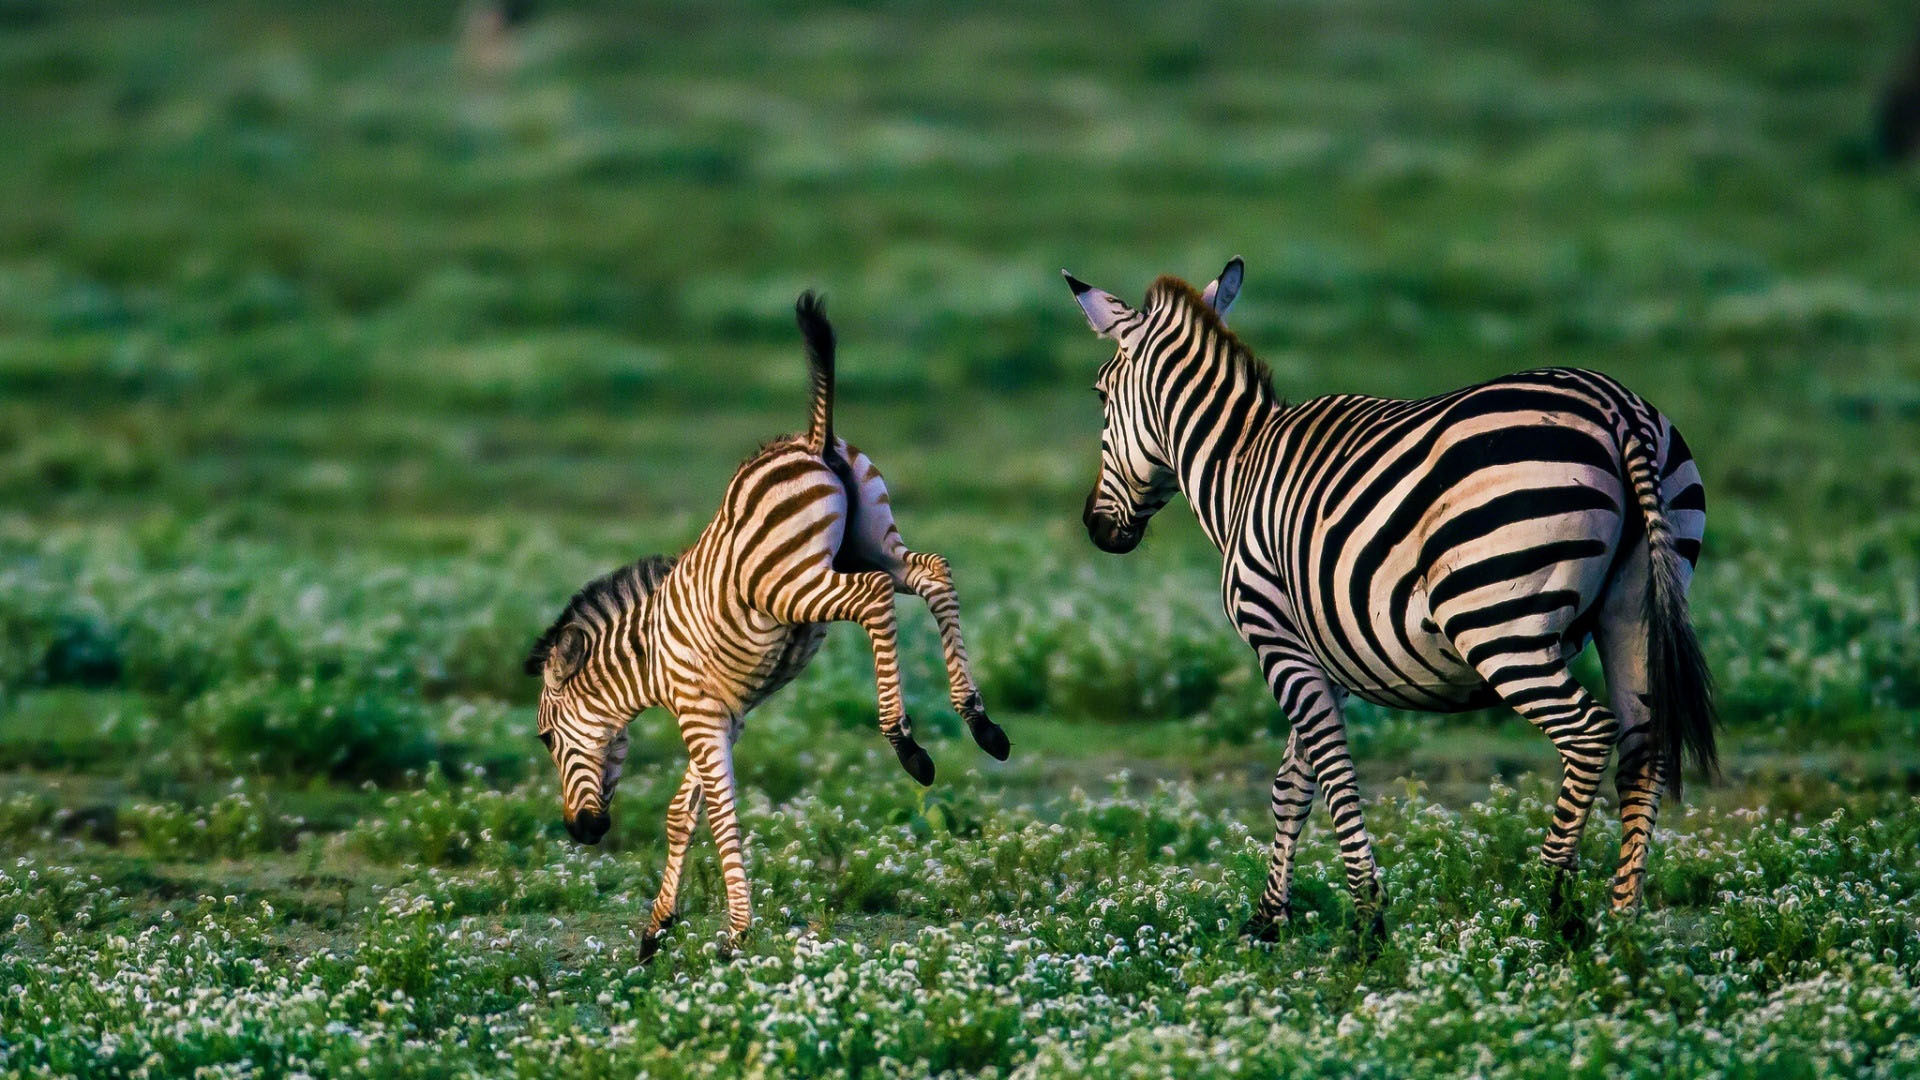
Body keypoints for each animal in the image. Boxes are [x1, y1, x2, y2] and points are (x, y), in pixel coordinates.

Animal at [526, 288, 1006, 949]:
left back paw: (906, 743)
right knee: (933, 573)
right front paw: (657, 929)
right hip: (873, 541)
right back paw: (981, 722)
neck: (648, 661)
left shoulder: (699, 716)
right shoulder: (725, 717)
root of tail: (811, 438)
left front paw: (735, 934)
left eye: (547, 739)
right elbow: (681, 814)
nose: (581, 832)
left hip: (792, 584)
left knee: (875, 598)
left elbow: (721, 815)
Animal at [1059, 261, 1720, 941]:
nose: (1095, 527)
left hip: (1496, 618)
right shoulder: (1327, 648)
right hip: (1634, 610)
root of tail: (1618, 409)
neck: (1236, 468)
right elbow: (1292, 783)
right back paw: (1622, 924)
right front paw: (1270, 920)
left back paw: (1549, 908)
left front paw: (1365, 921)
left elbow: (1330, 769)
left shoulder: (1276, 636)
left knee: (1588, 732)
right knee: (1643, 751)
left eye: (1101, 395)